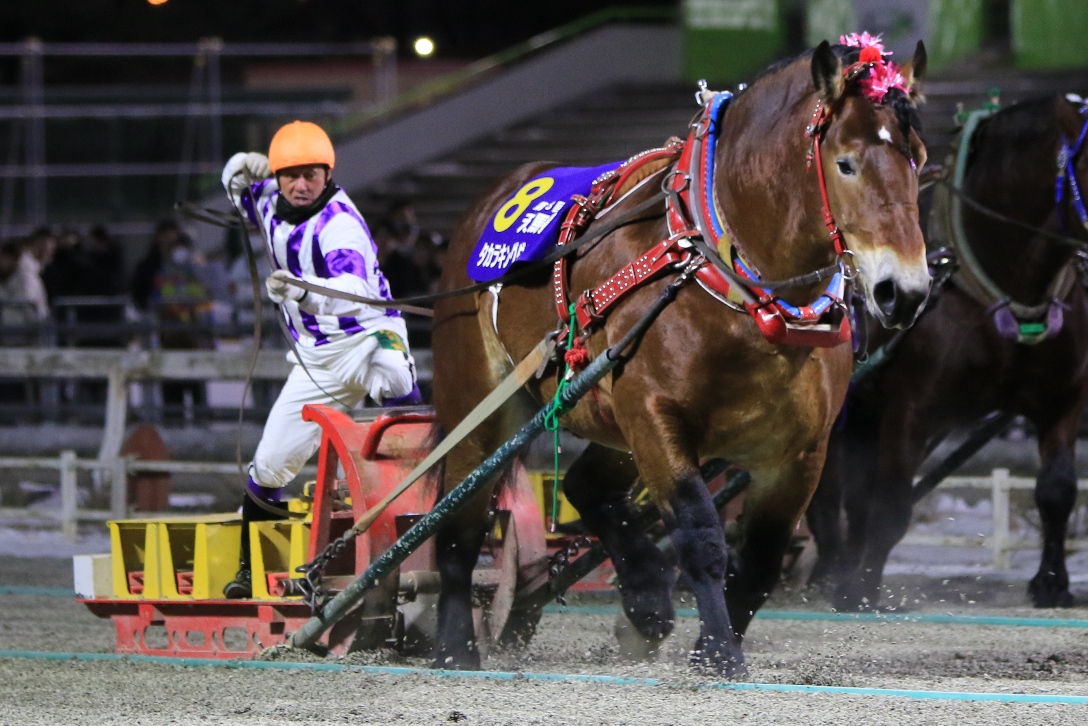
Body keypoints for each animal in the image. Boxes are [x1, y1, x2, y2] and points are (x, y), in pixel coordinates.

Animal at [430, 39, 930, 677]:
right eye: (845, 163)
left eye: (917, 158)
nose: (904, 291)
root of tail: (494, 198)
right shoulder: (654, 414)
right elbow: (700, 534)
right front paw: (718, 651)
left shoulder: (800, 450)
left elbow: (761, 560)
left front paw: (706, 637)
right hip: (483, 407)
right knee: (458, 520)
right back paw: (453, 645)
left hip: (611, 418)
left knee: (588, 486)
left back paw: (645, 599)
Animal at [806, 94, 1088, 611]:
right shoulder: (912, 407)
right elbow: (892, 503)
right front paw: (861, 586)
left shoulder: (1064, 398)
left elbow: (1057, 490)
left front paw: (1051, 582)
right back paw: (830, 568)